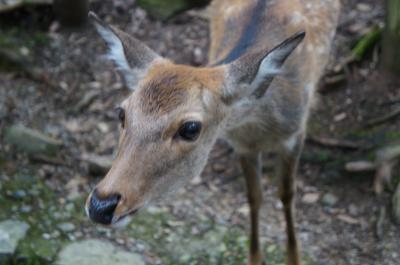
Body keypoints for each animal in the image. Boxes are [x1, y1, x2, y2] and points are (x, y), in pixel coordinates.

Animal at [86, 1, 340, 262]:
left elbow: (286, 195)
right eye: (121, 113)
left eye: (190, 128)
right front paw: (254, 258)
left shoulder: (295, 133)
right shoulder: (242, 144)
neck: (261, 125)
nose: (100, 205)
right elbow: (254, 197)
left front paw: (293, 257)